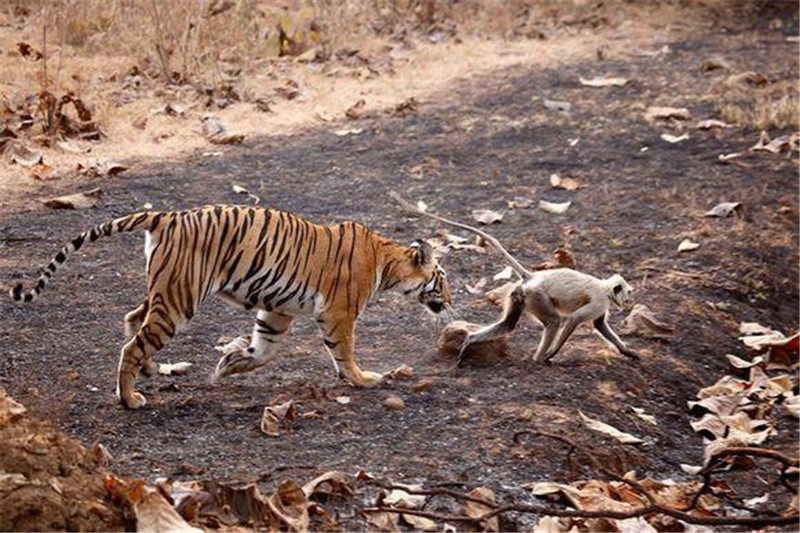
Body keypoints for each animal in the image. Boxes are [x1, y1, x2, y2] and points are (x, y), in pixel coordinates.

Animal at [9, 204, 454, 408]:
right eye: (443, 278)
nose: (452, 302)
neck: (387, 261)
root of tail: (166, 216)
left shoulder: (278, 309)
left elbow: (263, 351)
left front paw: (228, 365)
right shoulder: (338, 313)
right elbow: (343, 352)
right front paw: (363, 379)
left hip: (162, 293)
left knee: (132, 320)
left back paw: (149, 373)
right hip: (179, 300)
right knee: (132, 344)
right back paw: (130, 398)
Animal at [390, 192, 640, 366]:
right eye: (627, 293)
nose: (628, 301)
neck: (605, 287)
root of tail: (532, 275)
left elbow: (600, 325)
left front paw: (627, 351)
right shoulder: (600, 299)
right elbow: (575, 319)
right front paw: (552, 353)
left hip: (521, 294)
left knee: (508, 324)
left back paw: (471, 340)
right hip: (536, 295)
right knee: (554, 321)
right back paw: (540, 359)